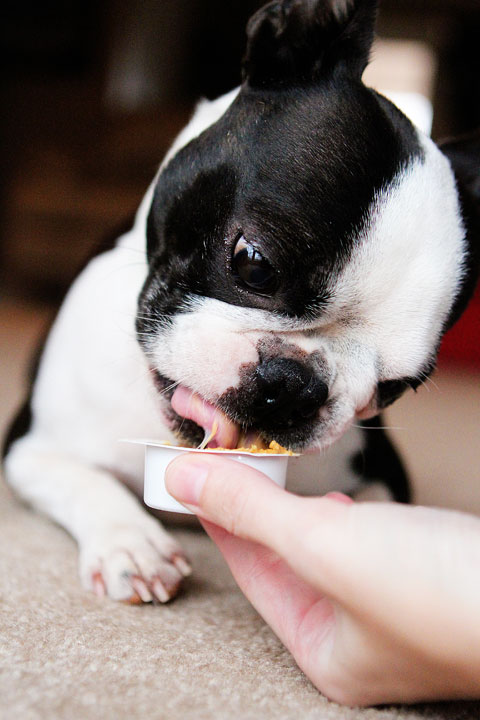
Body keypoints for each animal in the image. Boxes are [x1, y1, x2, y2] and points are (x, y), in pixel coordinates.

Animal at [3, 0, 480, 604]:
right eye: (254, 263)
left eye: (395, 388)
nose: (292, 385)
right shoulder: (30, 448)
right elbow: (82, 480)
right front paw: (131, 543)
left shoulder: (384, 472)